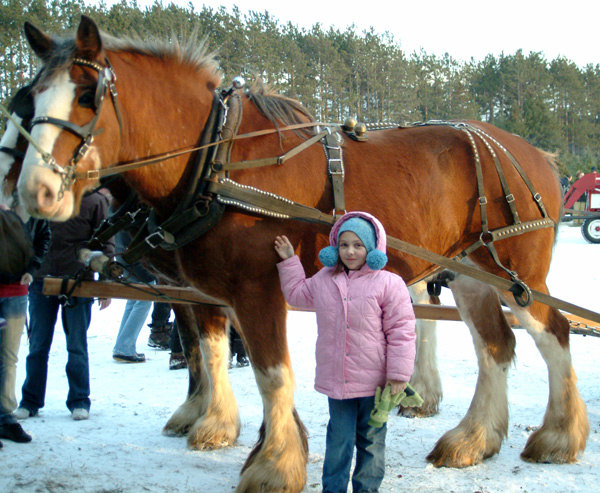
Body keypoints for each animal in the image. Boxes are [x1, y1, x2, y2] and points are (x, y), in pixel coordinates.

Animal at [15, 15, 592, 492]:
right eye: (31, 95)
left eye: (87, 95)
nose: (34, 190)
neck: (218, 160)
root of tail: (536, 154)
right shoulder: (213, 291)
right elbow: (219, 353)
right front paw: (234, 430)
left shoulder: (257, 287)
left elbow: (269, 372)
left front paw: (272, 465)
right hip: (470, 274)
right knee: (495, 346)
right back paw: (473, 440)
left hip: (517, 276)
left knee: (554, 333)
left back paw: (559, 436)